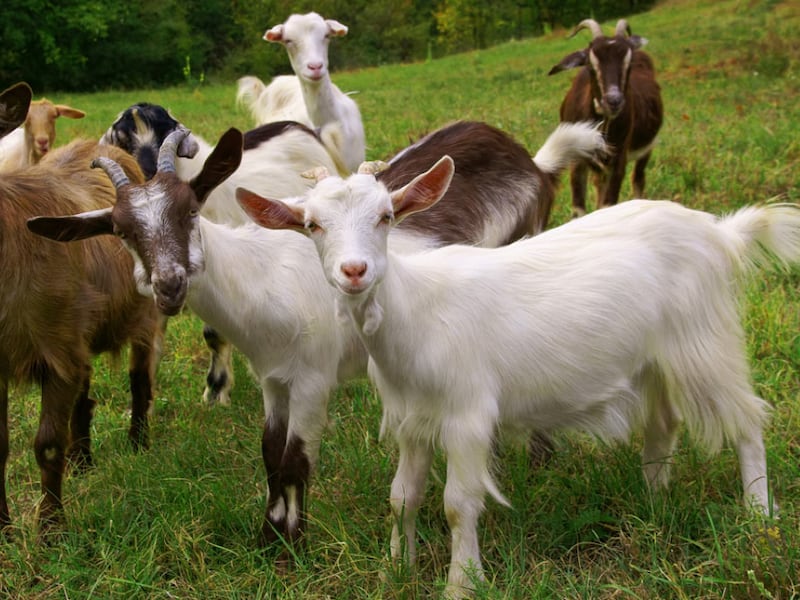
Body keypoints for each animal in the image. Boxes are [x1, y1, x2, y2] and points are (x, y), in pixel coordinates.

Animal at [0, 83, 161, 536]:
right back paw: (84, 461)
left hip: (142, 313)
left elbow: (48, 445)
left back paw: (138, 444)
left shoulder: (56, 351)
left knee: (139, 379)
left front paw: (52, 530)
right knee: (84, 396)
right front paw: (4, 527)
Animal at [28, 121, 606, 557]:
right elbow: (269, 453)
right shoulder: (274, 377)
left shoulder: (312, 377)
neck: (262, 277)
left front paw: (292, 544)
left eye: (190, 209)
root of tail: (532, 161)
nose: (169, 284)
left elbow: (295, 459)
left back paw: (538, 462)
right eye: (123, 231)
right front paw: (268, 537)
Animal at [238, 157, 797, 597]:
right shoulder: (411, 419)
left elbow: (459, 504)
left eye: (386, 217)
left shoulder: (467, 414)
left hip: (703, 340)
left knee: (747, 420)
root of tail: (721, 232)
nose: (354, 271)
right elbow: (402, 496)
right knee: (663, 423)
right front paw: (395, 570)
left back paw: (758, 514)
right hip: (654, 358)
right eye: (312, 225)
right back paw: (655, 502)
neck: (415, 312)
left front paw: (462, 584)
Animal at [549, 18, 663, 217]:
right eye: (590, 65)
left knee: (638, 178)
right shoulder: (577, 161)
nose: (613, 101)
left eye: (628, 64)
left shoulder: (618, 159)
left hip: (647, 147)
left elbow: (608, 204)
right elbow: (578, 209)